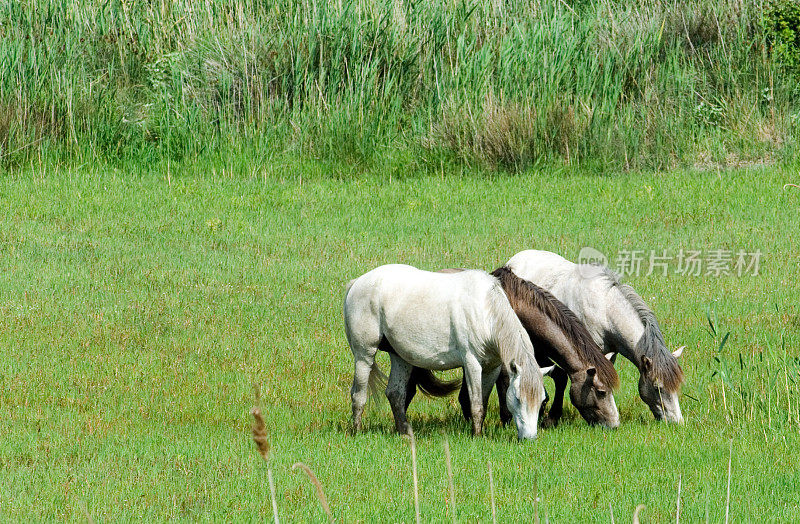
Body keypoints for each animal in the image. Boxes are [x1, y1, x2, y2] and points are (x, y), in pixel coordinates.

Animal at [340, 264, 552, 440]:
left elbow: (482, 402)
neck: (486, 312)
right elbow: (476, 405)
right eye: (517, 398)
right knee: (358, 395)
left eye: (542, 400)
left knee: (395, 394)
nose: (529, 438)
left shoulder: (492, 368)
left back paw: (404, 433)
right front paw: (477, 436)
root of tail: (357, 283)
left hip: (400, 358)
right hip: (364, 355)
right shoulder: (472, 364)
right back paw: (357, 431)